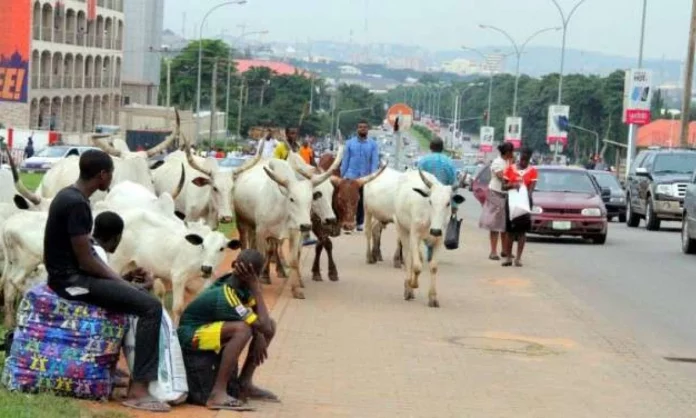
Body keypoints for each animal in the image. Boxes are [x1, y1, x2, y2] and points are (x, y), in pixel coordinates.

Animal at [107, 209, 241, 324]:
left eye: (221, 248)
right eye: (203, 246)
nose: (206, 268)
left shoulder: (209, 280)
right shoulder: (178, 277)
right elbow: (178, 308)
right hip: (116, 262)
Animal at [232, 145, 344, 298]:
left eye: (311, 198)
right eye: (318, 194)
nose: (331, 219)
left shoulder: (295, 233)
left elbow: (295, 259)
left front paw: (297, 287)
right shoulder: (262, 232)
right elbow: (263, 255)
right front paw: (260, 283)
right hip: (243, 223)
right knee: (246, 245)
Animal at [394, 170, 464, 306]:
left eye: (448, 203)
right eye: (430, 201)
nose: (435, 230)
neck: (429, 217)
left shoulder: (439, 239)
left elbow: (433, 267)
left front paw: (433, 297)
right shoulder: (414, 235)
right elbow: (417, 266)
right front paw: (413, 284)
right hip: (401, 228)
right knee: (408, 258)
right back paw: (408, 288)